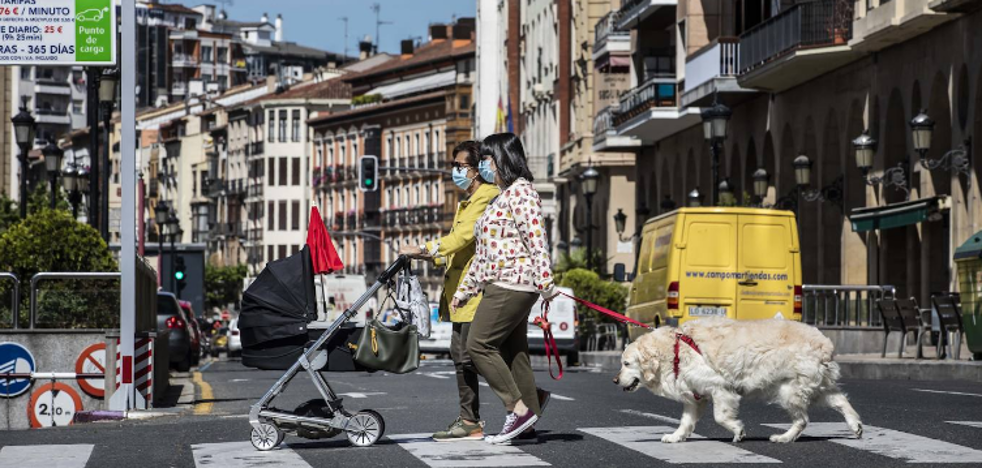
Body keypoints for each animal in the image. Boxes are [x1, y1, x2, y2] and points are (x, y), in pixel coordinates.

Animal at [616, 316, 860, 444]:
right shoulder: (694, 397)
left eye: (626, 363)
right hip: (815, 385)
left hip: (790, 390)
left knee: (802, 420)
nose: (615, 381)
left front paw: (737, 430)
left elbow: (720, 417)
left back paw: (783, 437)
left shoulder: (720, 388)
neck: (674, 350)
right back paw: (856, 426)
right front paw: (676, 436)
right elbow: (686, 421)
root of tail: (825, 343)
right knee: (840, 400)